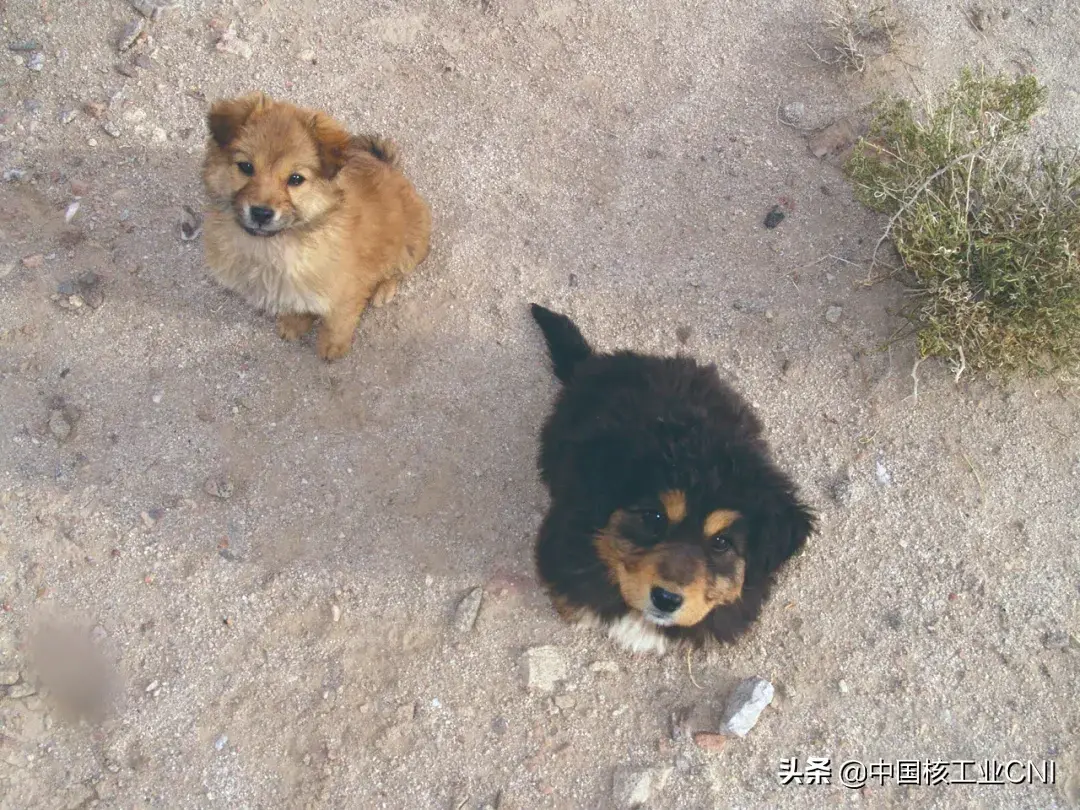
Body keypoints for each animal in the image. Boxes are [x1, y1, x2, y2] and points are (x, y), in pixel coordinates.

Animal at [200, 92, 427, 360]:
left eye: (295, 179)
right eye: (246, 167)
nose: (261, 213)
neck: (277, 245)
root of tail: (390, 167)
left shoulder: (347, 292)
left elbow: (338, 323)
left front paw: (332, 347)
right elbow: (300, 304)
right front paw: (296, 323)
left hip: (412, 246)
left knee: (397, 271)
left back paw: (383, 290)